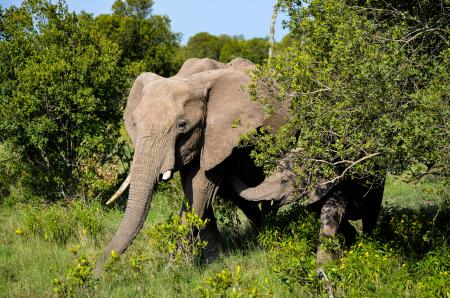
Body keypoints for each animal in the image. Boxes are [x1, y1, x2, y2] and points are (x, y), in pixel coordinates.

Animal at [96, 58, 280, 272]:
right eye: (134, 124)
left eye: (182, 125)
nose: (95, 274)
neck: (193, 81)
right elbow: (196, 194)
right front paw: (213, 263)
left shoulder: (220, 134)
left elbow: (200, 190)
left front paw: (171, 270)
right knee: (242, 197)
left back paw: (270, 238)